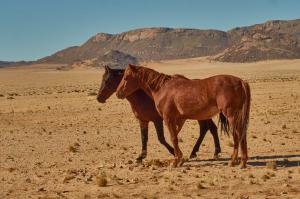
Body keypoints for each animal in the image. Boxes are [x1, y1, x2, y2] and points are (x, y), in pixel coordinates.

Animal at [117, 64, 251, 167]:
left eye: (126, 77)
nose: (119, 93)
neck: (162, 88)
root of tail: (241, 81)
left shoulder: (168, 118)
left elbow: (173, 138)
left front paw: (176, 161)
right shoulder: (178, 119)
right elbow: (175, 137)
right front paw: (180, 159)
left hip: (231, 115)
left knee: (238, 134)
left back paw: (237, 161)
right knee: (239, 134)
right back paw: (238, 161)